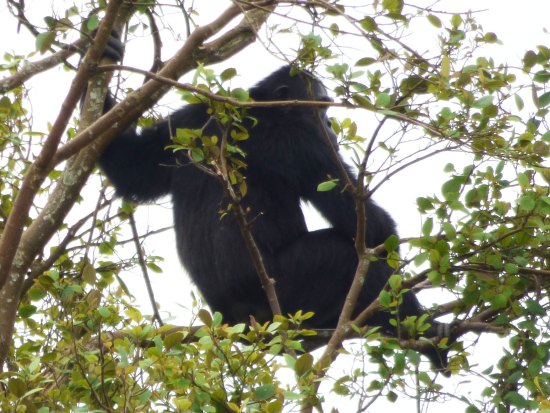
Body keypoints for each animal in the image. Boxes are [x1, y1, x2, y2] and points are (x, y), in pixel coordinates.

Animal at [94, 34, 452, 370]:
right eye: (321, 107)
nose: (330, 125)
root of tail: (238, 321)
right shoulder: (303, 142)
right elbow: (368, 224)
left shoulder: (187, 119)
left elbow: (132, 169)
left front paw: (105, 53)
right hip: (290, 290)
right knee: (349, 257)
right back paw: (425, 333)